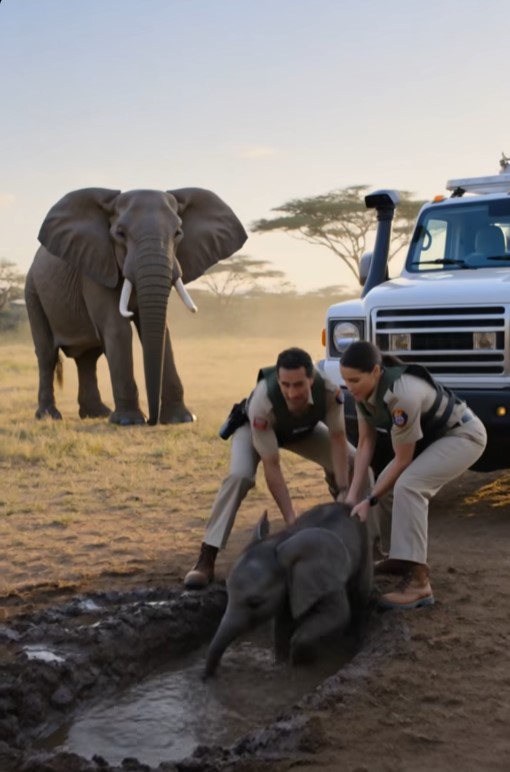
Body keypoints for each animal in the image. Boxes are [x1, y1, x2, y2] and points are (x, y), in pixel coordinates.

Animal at [24, 187, 247, 425]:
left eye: (178, 233)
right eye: (120, 234)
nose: (153, 420)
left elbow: (162, 331)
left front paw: (181, 418)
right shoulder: (96, 269)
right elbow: (118, 329)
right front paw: (128, 422)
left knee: (88, 358)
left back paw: (97, 413)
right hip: (32, 293)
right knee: (47, 354)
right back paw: (49, 416)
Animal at [204, 502, 374, 678]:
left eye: (255, 603)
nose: (207, 677)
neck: (279, 541)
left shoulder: (327, 580)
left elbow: (337, 615)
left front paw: (297, 662)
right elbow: (281, 624)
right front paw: (281, 663)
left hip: (364, 545)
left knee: (360, 595)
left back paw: (355, 642)